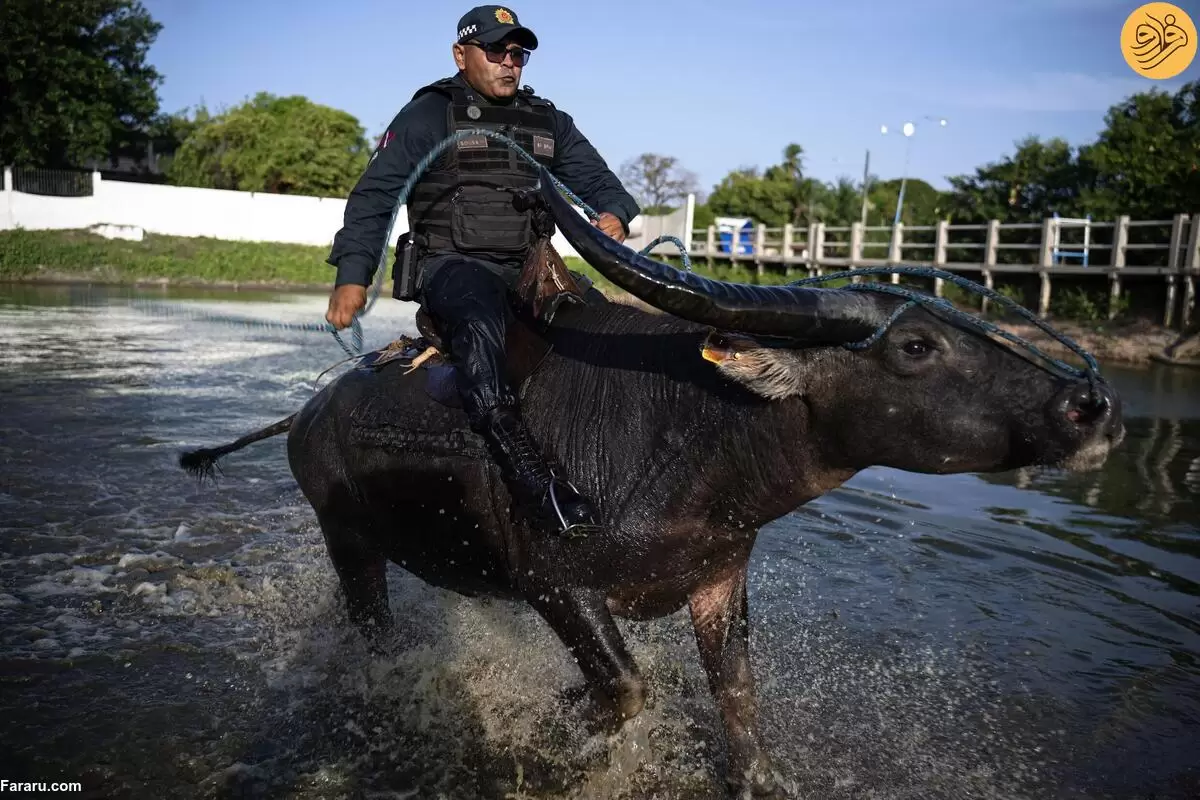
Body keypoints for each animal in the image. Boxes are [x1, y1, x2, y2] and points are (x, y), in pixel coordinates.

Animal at [177, 167, 1123, 796]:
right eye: (916, 347)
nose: (1089, 405)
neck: (688, 438)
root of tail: (309, 412)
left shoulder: (719, 582)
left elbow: (737, 699)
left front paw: (756, 774)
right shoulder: (557, 582)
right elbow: (627, 689)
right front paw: (558, 717)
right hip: (347, 541)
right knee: (372, 632)